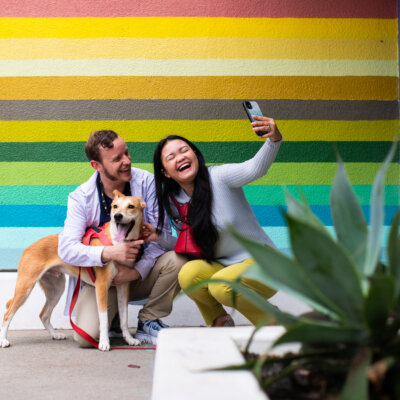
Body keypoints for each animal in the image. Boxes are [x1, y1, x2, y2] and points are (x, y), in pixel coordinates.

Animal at [0, 191, 147, 350]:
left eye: (131, 206)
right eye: (115, 206)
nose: (117, 216)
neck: (117, 242)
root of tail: (27, 248)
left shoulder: (123, 287)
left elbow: (124, 318)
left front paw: (129, 339)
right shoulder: (101, 286)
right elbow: (104, 319)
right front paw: (104, 342)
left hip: (56, 289)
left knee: (43, 314)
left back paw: (55, 334)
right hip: (25, 288)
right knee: (8, 314)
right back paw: (3, 340)